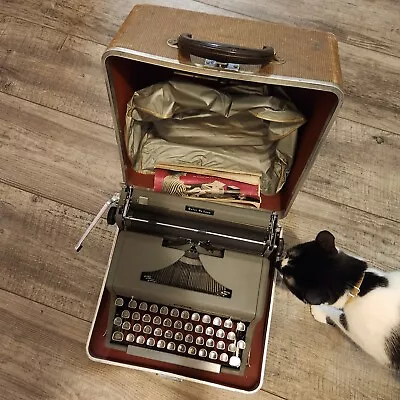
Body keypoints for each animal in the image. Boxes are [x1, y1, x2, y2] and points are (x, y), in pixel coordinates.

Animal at [278, 231, 400, 372]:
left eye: (286, 278)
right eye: (289, 253)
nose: (277, 263)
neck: (356, 286)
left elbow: (336, 315)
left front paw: (318, 311)